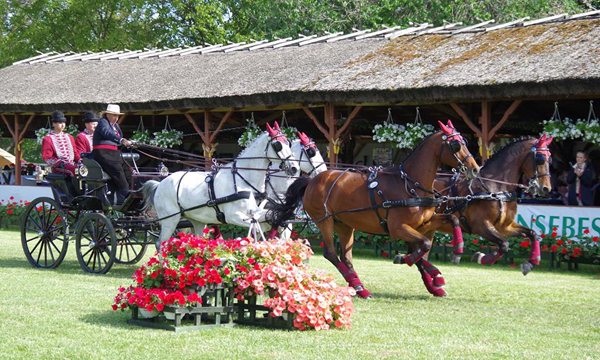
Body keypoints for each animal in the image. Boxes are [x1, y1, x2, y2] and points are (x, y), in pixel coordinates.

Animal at [141, 122, 300, 249]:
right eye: (277, 144)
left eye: (288, 142)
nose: (294, 168)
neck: (242, 178)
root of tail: (160, 184)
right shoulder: (232, 216)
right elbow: (255, 228)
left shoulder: (256, 212)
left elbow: (263, 223)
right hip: (170, 220)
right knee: (160, 243)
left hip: (197, 220)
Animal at [270, 121, 480, 298]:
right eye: (456, 145)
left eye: (464, 141)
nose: (475, 168)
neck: (410, 184)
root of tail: (312, 180)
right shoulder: (398, 228)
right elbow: (425, 246)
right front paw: (411, 262)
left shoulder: (423, 224)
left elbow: (449, 223)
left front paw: (455, 252)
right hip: (325, 221)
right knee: (331, 253)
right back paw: (359, 286)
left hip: (344, 224)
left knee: (346, 257)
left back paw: (359, 288)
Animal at [426, 135, 552, 276]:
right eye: (540, 159)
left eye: (550, 159)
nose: (546, 188)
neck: (496, 189)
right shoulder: (481, 226)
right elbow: (504, 244)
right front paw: (480, 257)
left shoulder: (505, 227)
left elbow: (532, 233)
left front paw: (530, 263)